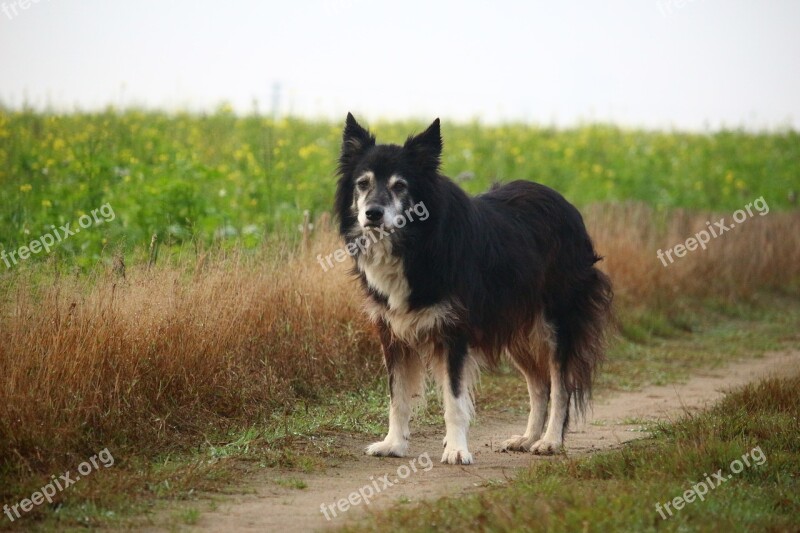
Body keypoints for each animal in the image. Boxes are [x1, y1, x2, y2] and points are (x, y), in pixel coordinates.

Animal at [332, 114, 612, 464]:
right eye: (363, 183)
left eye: (400, 186)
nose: (372, 213)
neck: (415, 243)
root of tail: (567, 206)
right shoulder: (392, 330)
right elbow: (397, 397)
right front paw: (392, 444)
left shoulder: (454, 331)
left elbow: (454, 399)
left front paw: (456, 450)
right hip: (517, 327)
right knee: (539, 384)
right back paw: (527, 438)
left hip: (556, 322)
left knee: (560, 383)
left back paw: (549, 441)